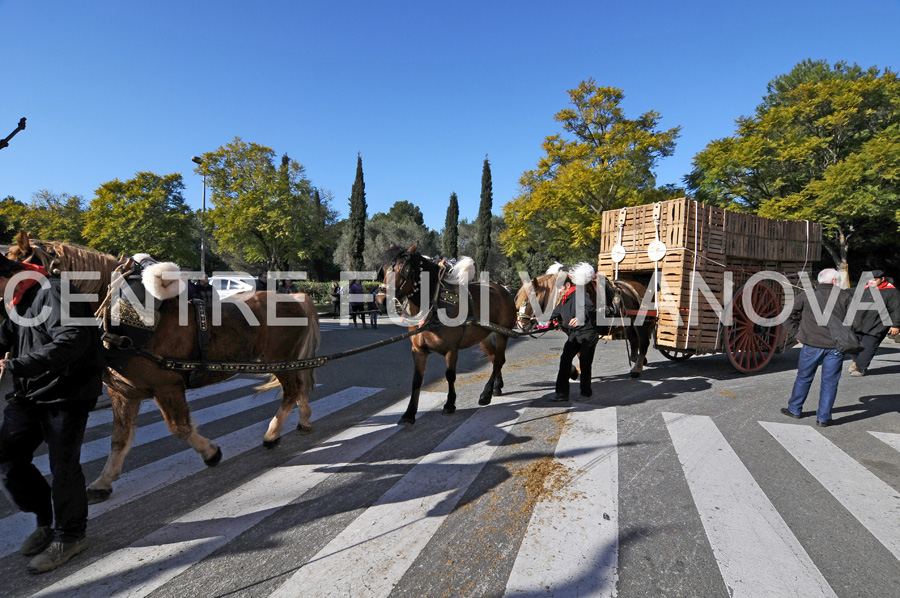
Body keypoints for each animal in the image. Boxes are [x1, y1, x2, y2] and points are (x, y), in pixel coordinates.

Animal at [7, 232, 320, 504]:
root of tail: (296, 297)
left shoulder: (166, 386)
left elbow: (179, 427)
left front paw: (211, 452)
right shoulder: (124, 393)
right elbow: (119, 439)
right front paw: (104, 481)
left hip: (280, 360)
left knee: (292, 391)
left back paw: (272, 434)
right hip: (287, 361)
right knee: (299, 387)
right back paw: (303, 421)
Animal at [380, 244, 516, 426]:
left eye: (404, 269)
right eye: (383, 269)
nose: (381, 300)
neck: (435, 305)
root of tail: (503, 289)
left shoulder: (452, 349)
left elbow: (450, 375)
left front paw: (450, 403)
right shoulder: (418, 350)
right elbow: (417, 380)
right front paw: (409, 413)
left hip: (502, 334)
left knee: (499, 360)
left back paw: (486, 393)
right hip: (484, 338)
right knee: (496, 359)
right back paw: (496, 386)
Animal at [512, 264, 652, 378]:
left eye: (531, 298)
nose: (521, 324)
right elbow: (574, 353)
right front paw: (575, 371)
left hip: (643, 323)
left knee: (644, 343)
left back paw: (637, 368)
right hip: (629, 324)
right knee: (634, 340)